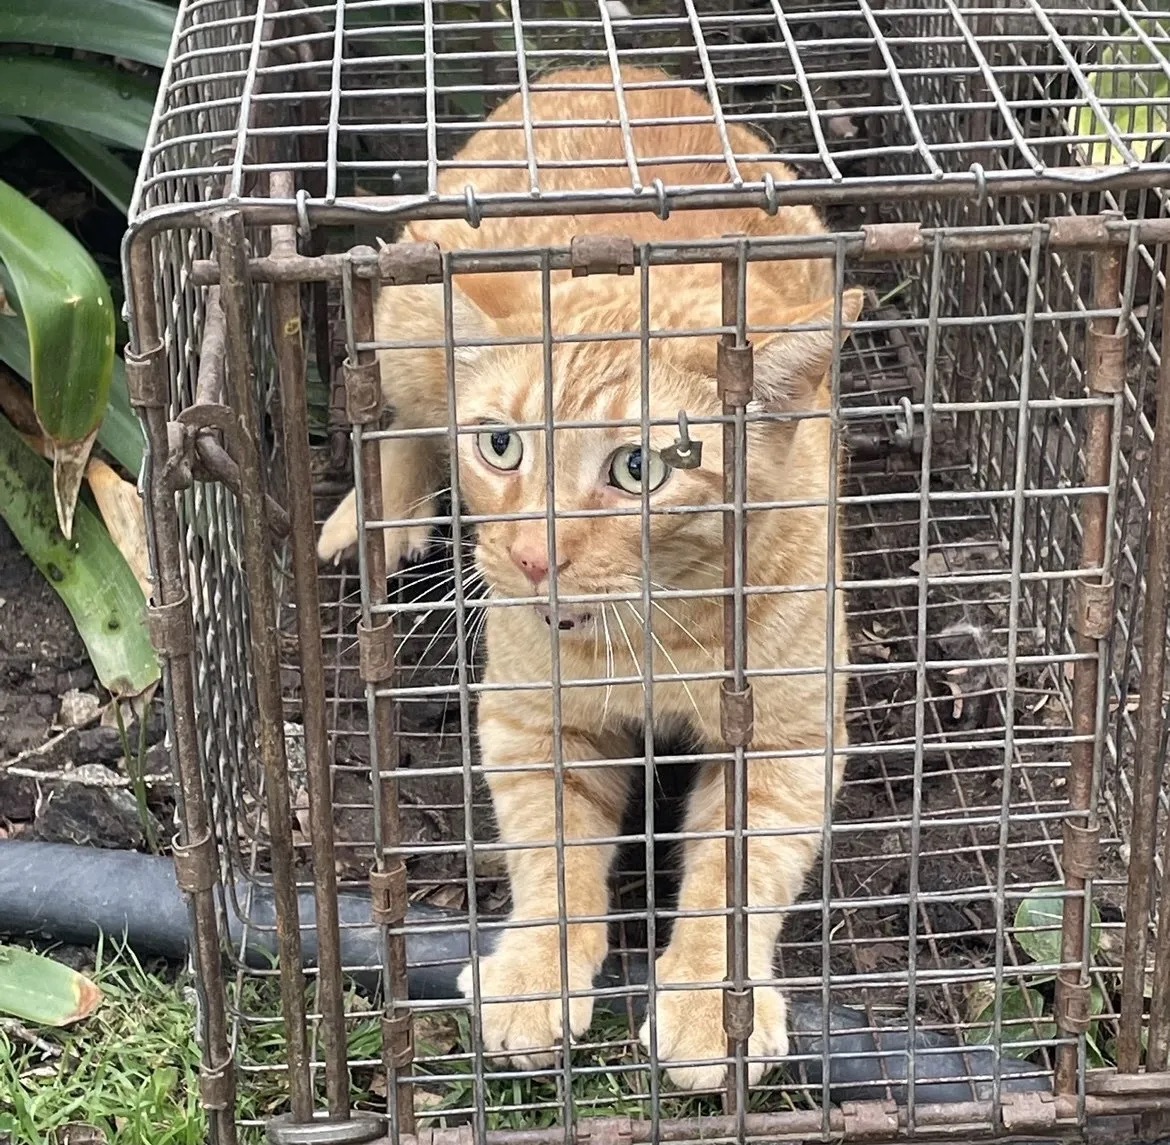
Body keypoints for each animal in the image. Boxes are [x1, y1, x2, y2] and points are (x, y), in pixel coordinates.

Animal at [320, 67, 861, 1090]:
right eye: (501, 445)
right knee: (397, 418)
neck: (658, 621)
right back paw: (381, 516)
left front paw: (711, 1004)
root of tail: (613, 71)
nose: (532, 556)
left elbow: (738, 876)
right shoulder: (536, 722)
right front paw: (537, 971)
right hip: (409, 327)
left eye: (638, 469)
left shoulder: (786, 740)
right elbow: (555, 853)